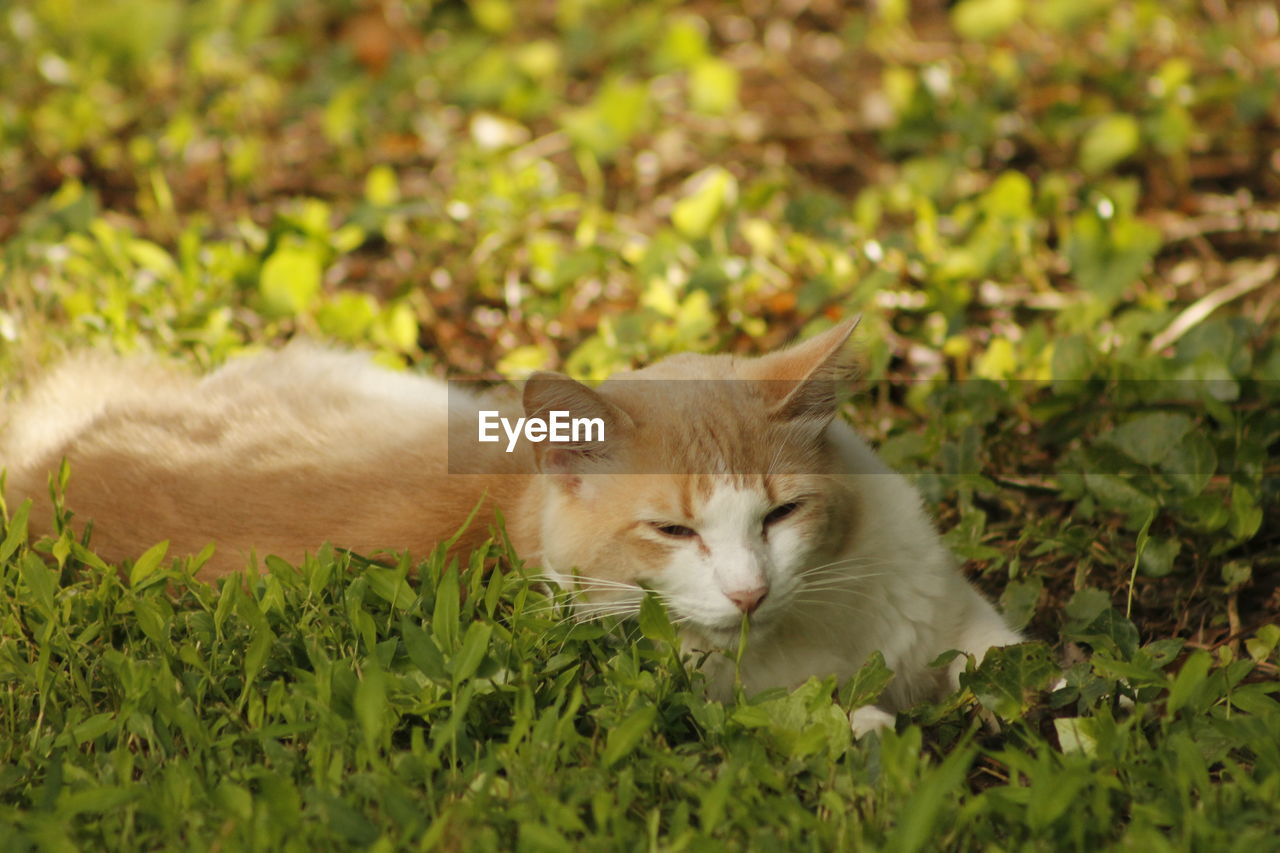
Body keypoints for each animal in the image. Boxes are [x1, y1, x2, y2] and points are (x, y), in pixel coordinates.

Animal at [0, 318, 1018, 732]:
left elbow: (1026, 664)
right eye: (672, 531)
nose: (748, 591)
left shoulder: (953, 617)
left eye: (781, 512)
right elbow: (841, 723)